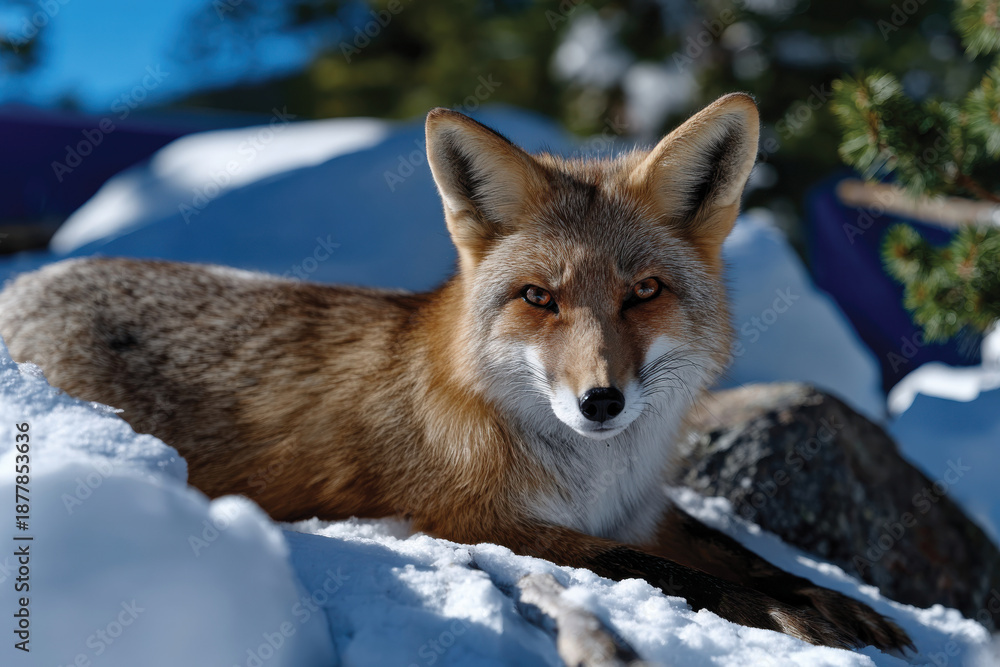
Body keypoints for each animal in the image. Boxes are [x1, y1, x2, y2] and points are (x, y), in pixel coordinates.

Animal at [0, 93, 912, 652]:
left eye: (643, 292)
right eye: (539, 297)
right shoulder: (464, 518)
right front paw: (785, 612)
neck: (593, 476)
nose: (601, 400)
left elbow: (736, 551)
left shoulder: (642, 508)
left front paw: (834, 599)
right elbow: (656, 569)